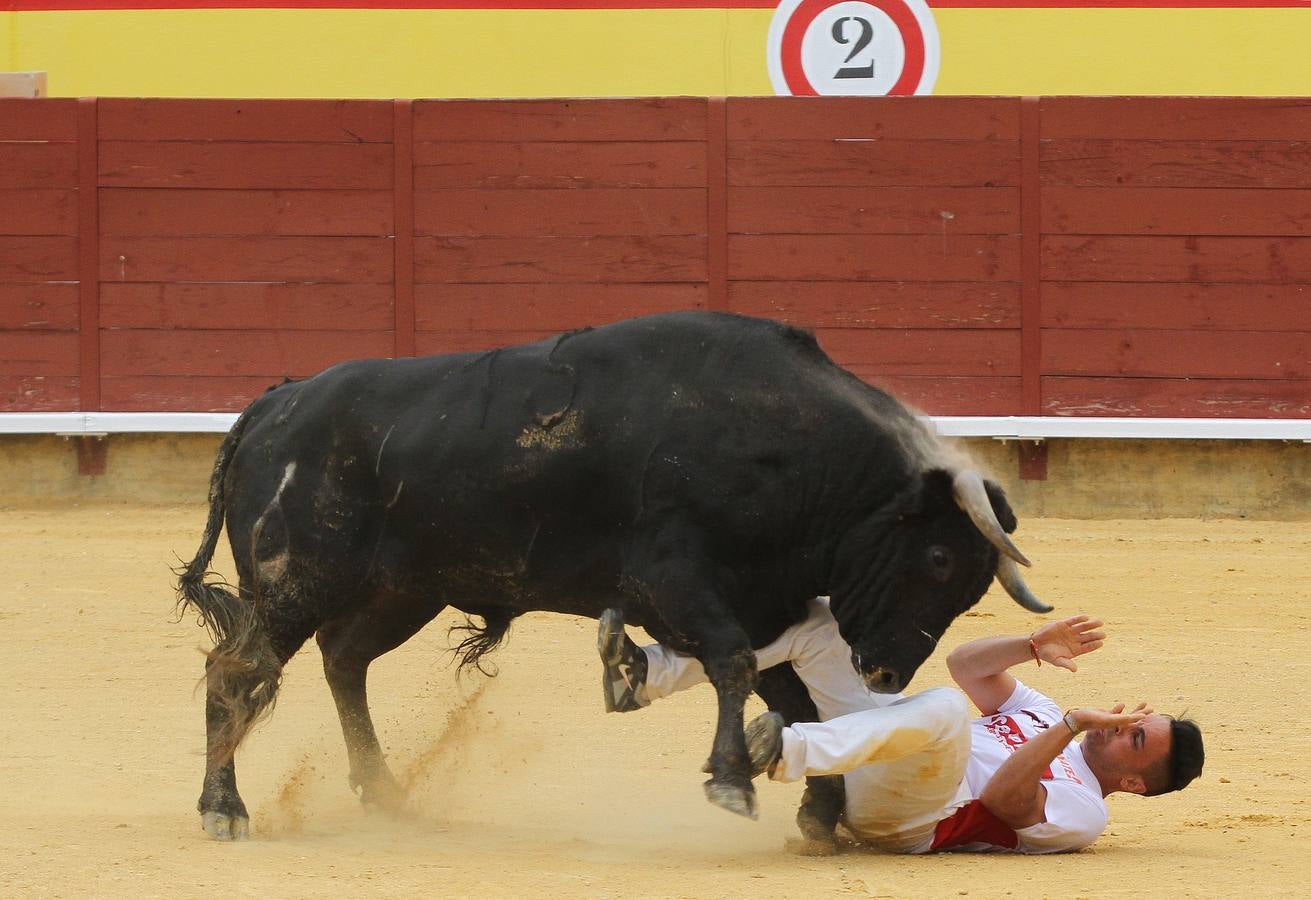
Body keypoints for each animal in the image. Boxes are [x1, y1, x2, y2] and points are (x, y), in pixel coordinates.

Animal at [176, 309, 1054, 844]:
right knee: (237, 671)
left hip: (403, 590)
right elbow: (737, 667)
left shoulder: (757, 604)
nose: (885, 675)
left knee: (342, 659)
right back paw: (224, 810)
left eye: (970, 586)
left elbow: (786, 695)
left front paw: (817, 807)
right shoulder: (678, 584)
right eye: (937, 558)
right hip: (293, 582)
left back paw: (384, 793)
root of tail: (275, 405)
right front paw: (732, 783)